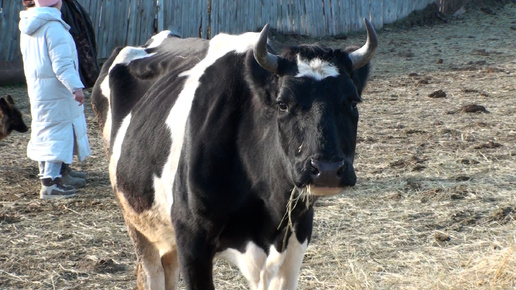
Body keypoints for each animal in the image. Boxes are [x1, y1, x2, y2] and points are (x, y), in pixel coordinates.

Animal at [90, 18, 376, 290]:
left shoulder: (298, 233)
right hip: (135, 215)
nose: (326, 169)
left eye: (352, 102)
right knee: (151, 273)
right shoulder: (191, 239)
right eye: (283, 104)